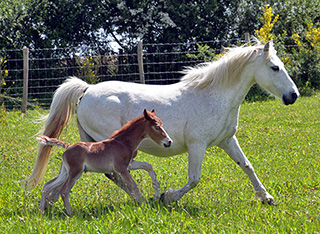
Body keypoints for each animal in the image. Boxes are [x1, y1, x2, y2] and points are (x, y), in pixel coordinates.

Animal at [37, 109, 172, 215]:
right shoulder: (121, 168)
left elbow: (147, 166)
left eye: (162, 125)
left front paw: (156, 189)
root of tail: (67, 147)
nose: (169, 142)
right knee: (64, 191)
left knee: (47, 185)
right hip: (75, 172)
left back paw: (41, 212)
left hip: (65, 172)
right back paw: (71, 214)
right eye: (156, 126)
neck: (123, 142)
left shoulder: (129, 164)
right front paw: (142, 204)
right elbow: (133, 185)